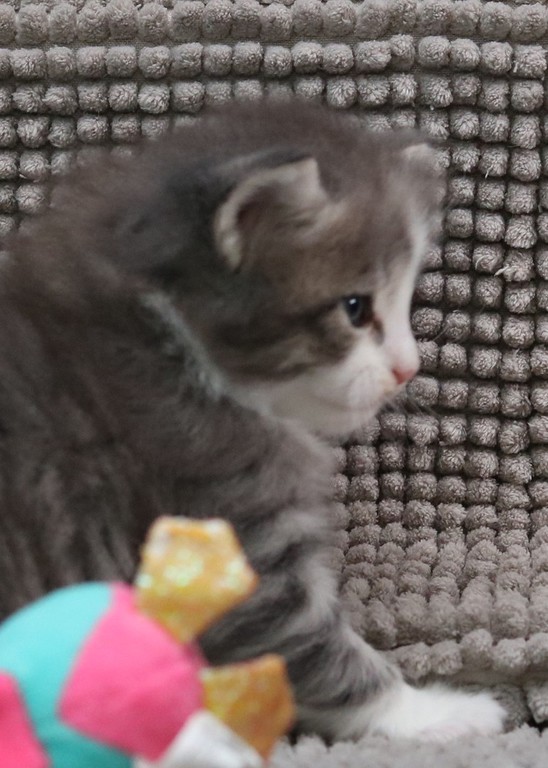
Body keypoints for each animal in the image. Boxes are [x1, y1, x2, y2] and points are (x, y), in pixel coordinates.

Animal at [0, 101, 505, 742]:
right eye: (355, 309)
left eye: (405, 302)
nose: (407, 369)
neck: (173, 344)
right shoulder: (218, 521)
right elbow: (318, 653)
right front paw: (437, 714)